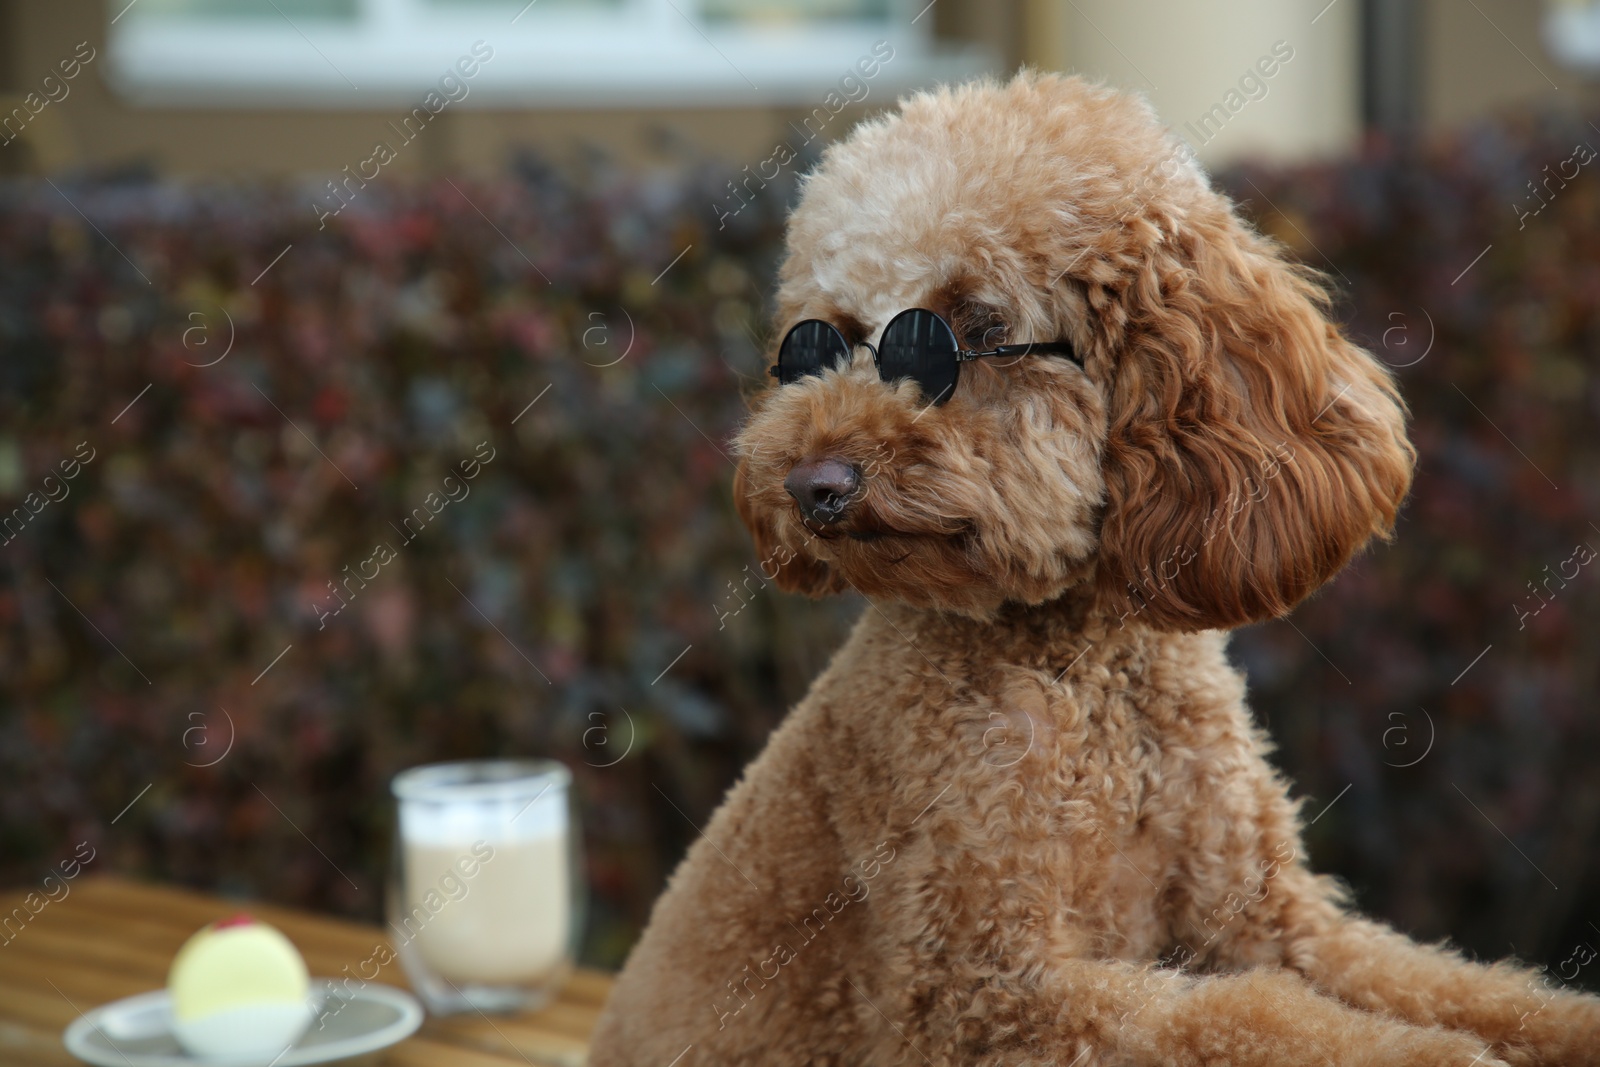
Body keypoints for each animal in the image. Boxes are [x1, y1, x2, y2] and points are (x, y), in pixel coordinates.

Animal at [592, 70, 1600, 1062]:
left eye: (974, 328)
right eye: (818, 343)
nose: (812, 484)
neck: (1090, 676)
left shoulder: (1272, 919)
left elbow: (1458, 985)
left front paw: (1554, 1026)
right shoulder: (981, 990)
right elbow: (1241, 1017)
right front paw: (1431, 1054)